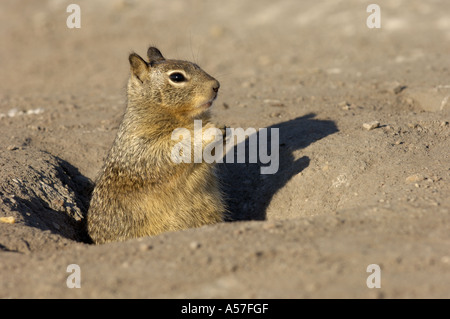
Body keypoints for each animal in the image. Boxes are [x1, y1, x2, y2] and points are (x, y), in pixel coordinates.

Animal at [87, 46, 227, 244]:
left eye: (197, 65)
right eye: (177, 77)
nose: (216, 85)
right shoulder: (142, 148)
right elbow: (172, 150)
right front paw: (210, 130)